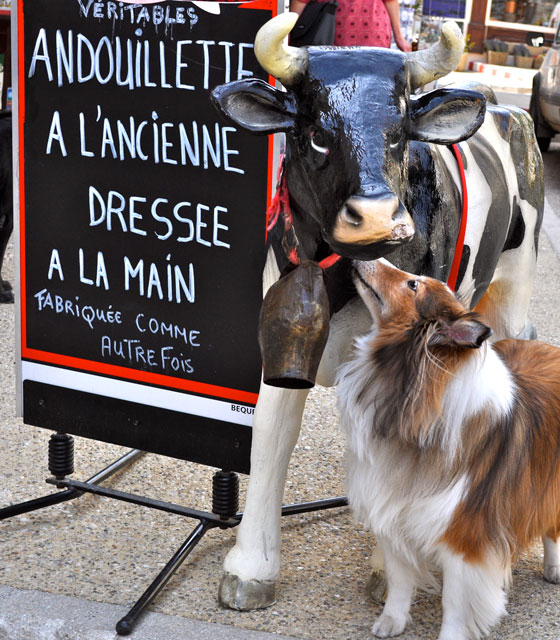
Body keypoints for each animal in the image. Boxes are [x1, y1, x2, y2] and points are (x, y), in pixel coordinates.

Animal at [336, 258, 560, 640]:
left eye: (413, 285)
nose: (360, 258)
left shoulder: (464, 541)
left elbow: (454, 605)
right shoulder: (393, 516)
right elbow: (399, 581)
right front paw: (392, 621)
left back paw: (554, 567)